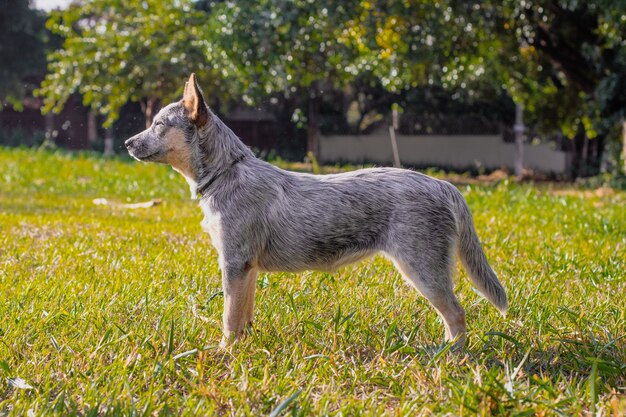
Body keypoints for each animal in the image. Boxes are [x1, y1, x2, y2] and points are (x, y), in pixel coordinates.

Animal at [124, 74, 504, 348]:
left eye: (158, 125)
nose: (128, 142)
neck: (226, 173)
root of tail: (444, 185)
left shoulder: (233, 264)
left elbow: (229, 319)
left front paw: (225, 354)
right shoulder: (247, 269)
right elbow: (244, 314)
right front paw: (245, 348)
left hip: (422, 270)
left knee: (456, 314)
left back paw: (451, 358)